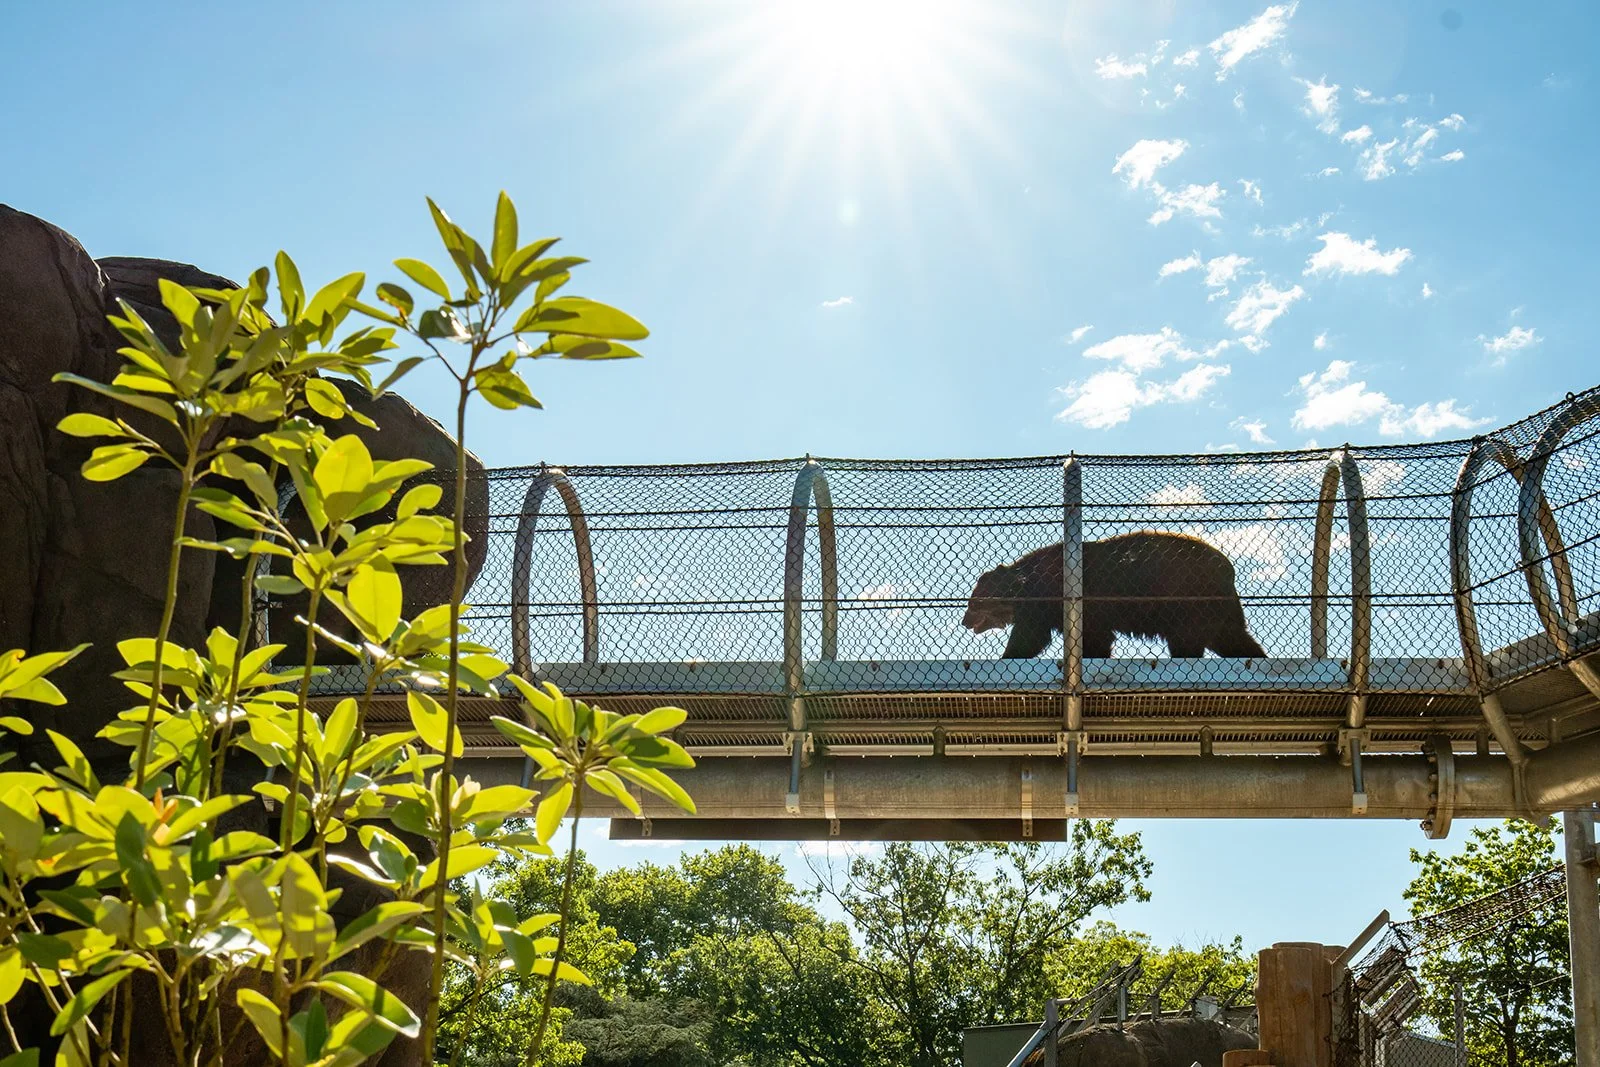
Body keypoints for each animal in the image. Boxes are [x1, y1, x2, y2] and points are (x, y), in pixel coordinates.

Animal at [962, 530, 1267, 660]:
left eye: (974, 600)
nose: (965, 621)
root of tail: (1228, 568)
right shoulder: (1045, 612)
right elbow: (1032, 638)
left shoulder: (1070, 598)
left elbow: (1093, 637)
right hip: (1218, 610)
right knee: (1233, 638)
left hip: (1188, 598)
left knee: (1187, 639)